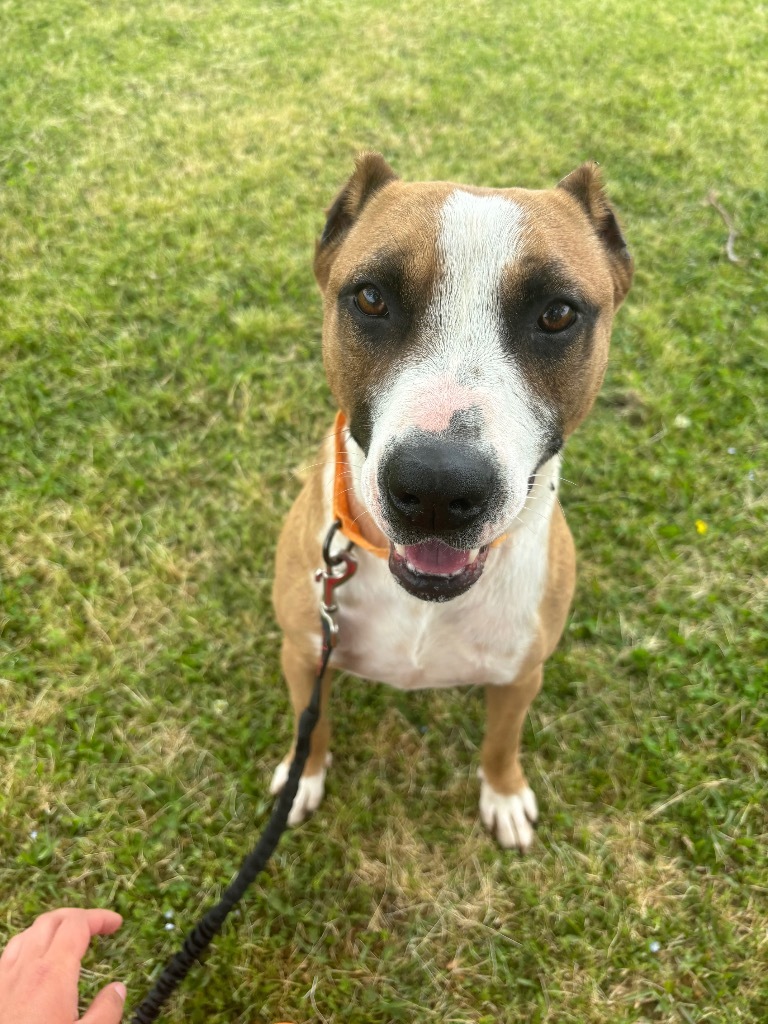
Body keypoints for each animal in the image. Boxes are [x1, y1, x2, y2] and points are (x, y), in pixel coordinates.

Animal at [268, 153, 630, 856]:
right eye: (371, 298)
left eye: (557, 313)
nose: (437, 488)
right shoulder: (303, 650)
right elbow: (310, 728)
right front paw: (304, 777)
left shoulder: (521, 675)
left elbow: (501, 742)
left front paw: (505, 794)